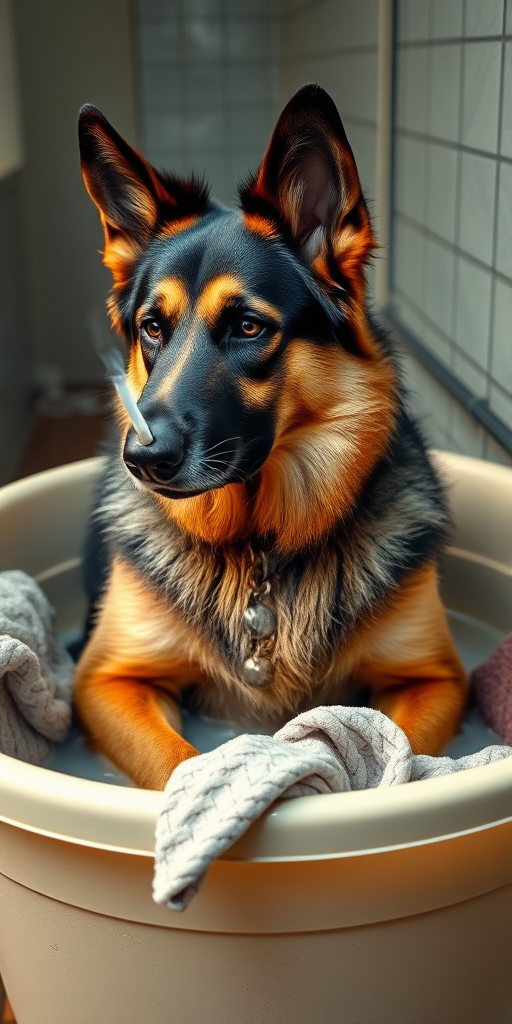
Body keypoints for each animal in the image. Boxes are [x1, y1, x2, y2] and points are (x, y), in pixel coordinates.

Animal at [75, 88, 468, 790]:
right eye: (153, 327)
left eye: (248, 327)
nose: (142, 458)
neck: (258, 544)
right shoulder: (106, 682)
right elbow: (182, 766)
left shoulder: (434, 680)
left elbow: (400, 761)